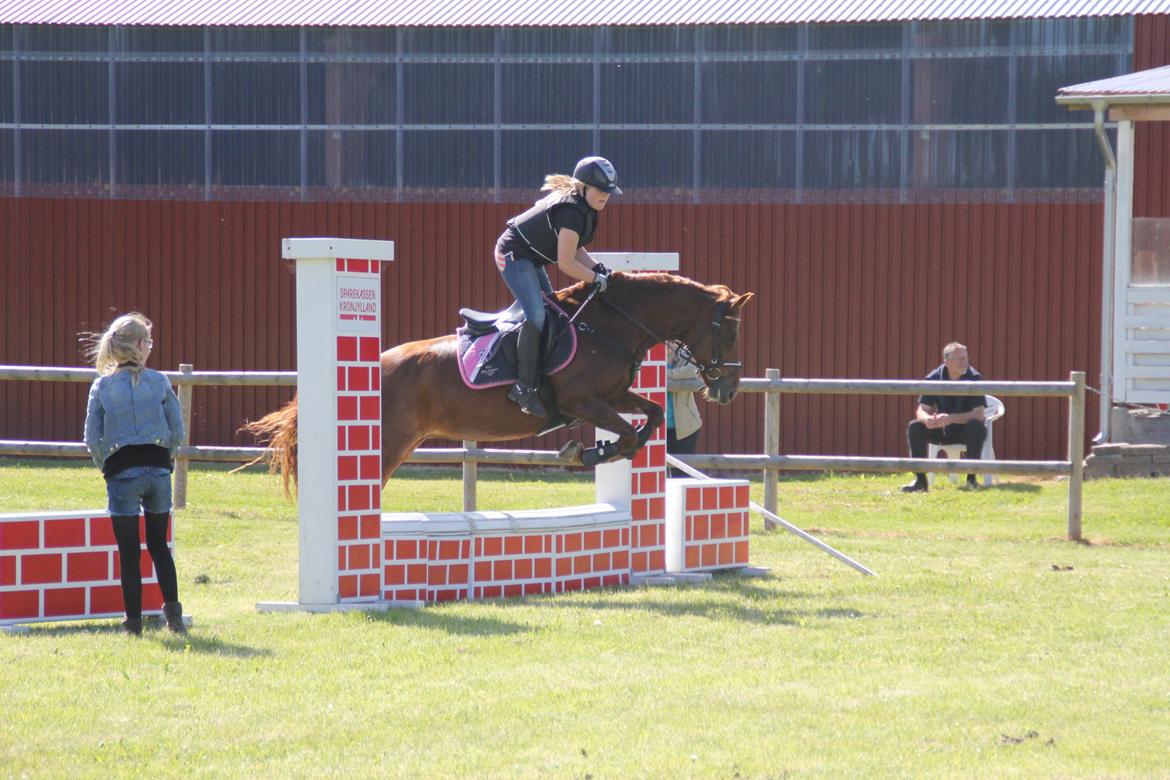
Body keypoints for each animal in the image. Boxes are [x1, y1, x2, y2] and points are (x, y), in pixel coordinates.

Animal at [245, 274, 753, 491]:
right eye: (729, 333)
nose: (727, 390)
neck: (610, 324)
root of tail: (378, 364)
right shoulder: (581, 400)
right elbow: (629, 432)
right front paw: (588, 452)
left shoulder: (610, 395)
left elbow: (650, 416)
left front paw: (596, 450)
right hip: (388, 443)